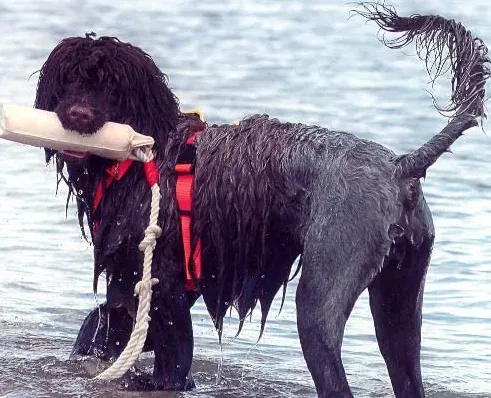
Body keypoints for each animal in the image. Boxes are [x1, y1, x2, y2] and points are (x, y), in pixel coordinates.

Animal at [32, 3, 490, 398]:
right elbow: (102, 325)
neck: (146, 151)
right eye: (69, 79)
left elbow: (172, 365)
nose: (78, 116)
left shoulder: (163, 290)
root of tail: (400, 167)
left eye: (111, 86)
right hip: (400, 303)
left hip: (321, 298)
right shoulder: (135, 289)